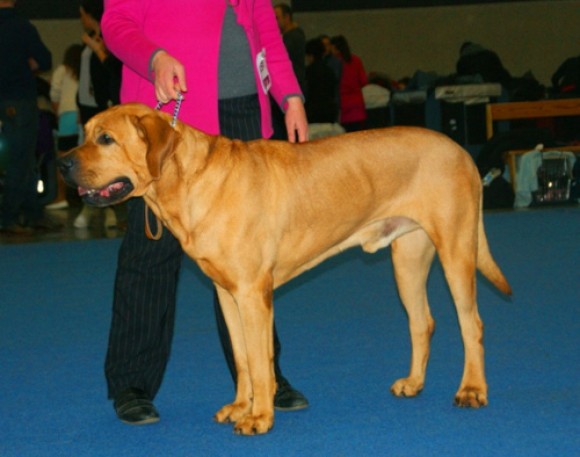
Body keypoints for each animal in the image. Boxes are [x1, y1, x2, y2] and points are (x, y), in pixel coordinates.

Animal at [57, 103, 512, 434]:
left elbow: (261, 362)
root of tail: (461, 150)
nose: (62, 164)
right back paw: (413, 383)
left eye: (106, 139)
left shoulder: (252, 293)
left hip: (456, 249)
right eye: (85, 134)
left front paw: (259, 417)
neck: (188, 183)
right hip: (408, 257)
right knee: (423, 322)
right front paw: (239, 407)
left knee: (472, 324)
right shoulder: (227, 294)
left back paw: (472, 390)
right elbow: (242, 358)